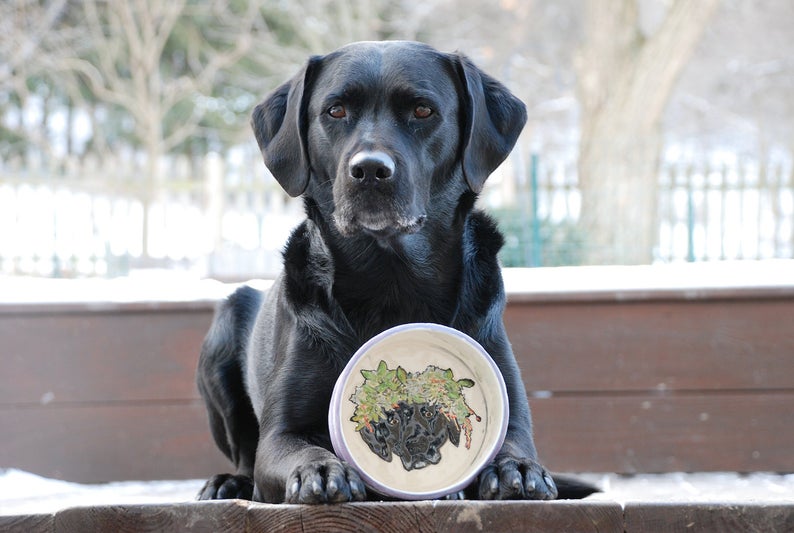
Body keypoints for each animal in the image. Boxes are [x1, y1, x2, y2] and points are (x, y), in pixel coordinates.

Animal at [198, 41, 592, 502]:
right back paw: (228, 482)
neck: (391, 279)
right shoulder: (280, 435)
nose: (370, 170)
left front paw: (519, 469)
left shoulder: (510, 409)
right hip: (223, 328)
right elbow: (297, 449)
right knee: (244, 457)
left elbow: (513, 444)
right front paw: (321, 470)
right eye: (335, 111)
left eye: (422, 110)